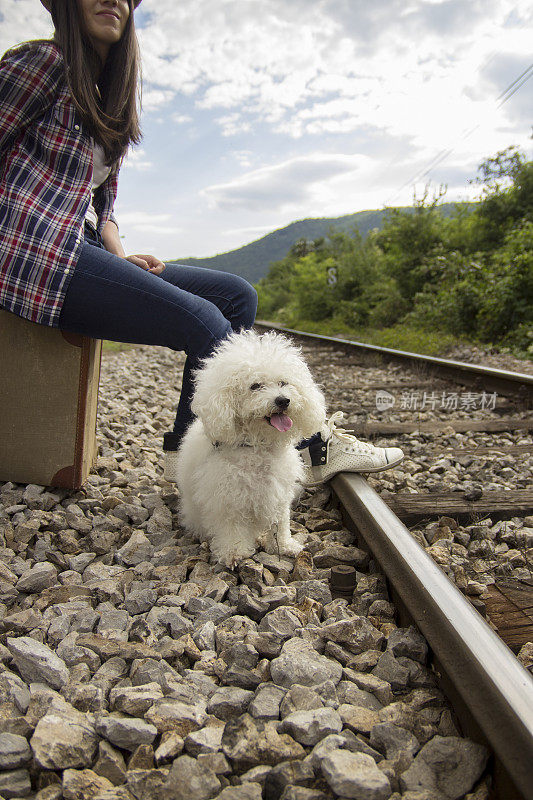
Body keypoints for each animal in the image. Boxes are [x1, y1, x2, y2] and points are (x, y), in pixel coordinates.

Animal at [176, 328, 324, 564]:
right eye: (255, 386)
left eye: (283, 383)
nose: (283, 400)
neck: (257, 446)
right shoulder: (227, 498)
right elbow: (231, 527)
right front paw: (234, 552)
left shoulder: (278, 494)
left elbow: (281, 523)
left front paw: (284, 546)